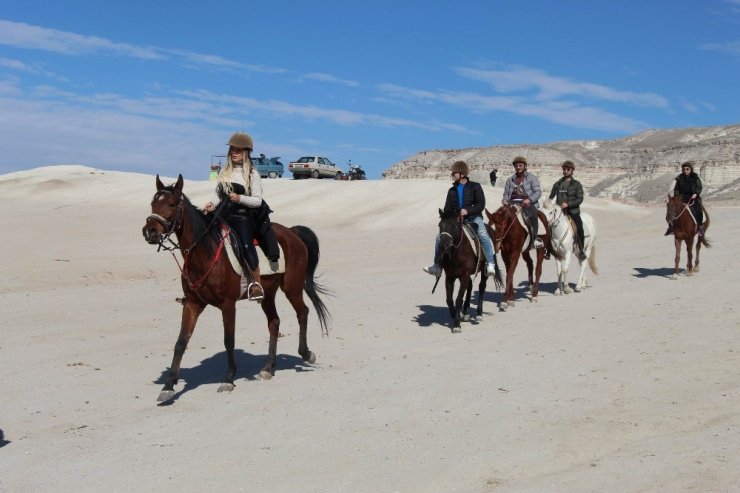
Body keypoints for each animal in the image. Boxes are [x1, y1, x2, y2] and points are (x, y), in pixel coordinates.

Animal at [141, 175, 330, 402]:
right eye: (153, 203)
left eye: (171, 204)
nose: (150, 231)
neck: (204, 252)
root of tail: (292, 232)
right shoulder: (193, 304)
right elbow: (181, 342)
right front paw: (168, 386)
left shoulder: (228, 304)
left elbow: (228, 340)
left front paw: (229, 379)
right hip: (267, 294)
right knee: (274, 322)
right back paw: (268, 367)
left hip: (292, 287)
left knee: (303, 312)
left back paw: (306, 353)